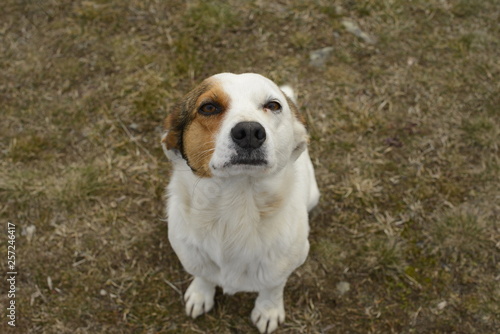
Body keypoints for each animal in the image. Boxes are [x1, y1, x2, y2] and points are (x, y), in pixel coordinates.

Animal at [163, 72, 320, 332]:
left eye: (273, 105)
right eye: (208, 107)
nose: (248, 132)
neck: (236, 207)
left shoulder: (286, 262)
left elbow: (273, 285)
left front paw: (268, 310)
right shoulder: (190, 253)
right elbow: (203, 274)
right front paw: (200, 293)